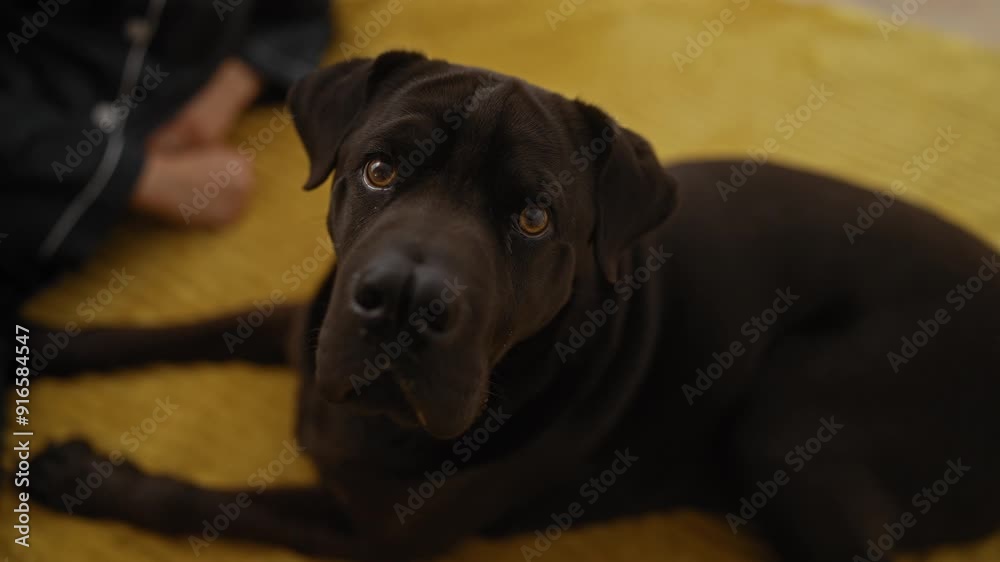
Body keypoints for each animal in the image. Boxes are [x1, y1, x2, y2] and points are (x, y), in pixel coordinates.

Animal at [27, 50, 996, 556]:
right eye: (379, 169)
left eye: (533, 218)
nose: (404, 300)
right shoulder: (311, 326)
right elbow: (197, 324)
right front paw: (47, 337)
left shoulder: (374, 533)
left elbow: (199, 503)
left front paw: (78, 475)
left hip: (788, 422)